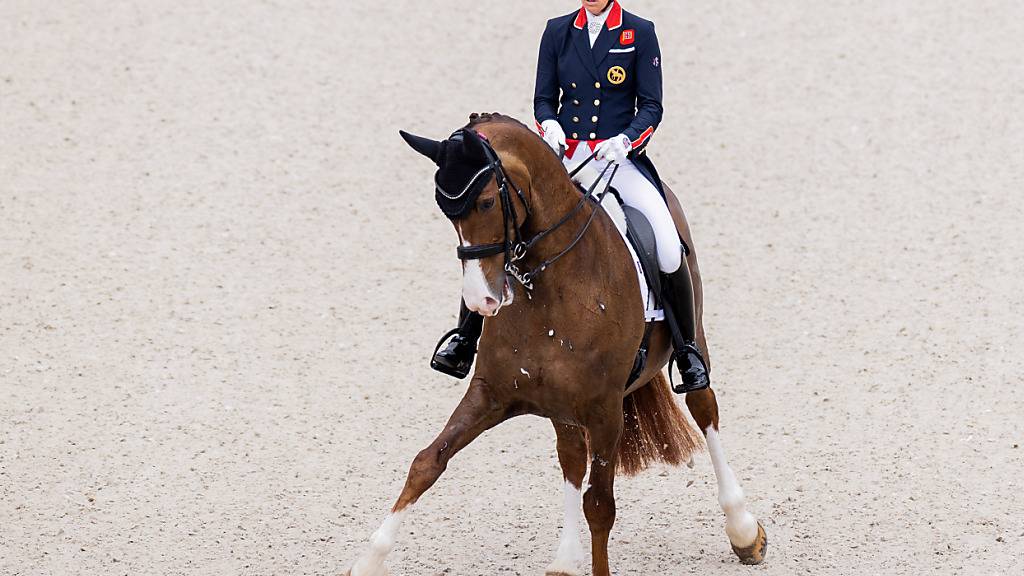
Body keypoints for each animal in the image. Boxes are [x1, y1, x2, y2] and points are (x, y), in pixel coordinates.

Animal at [348, 113, 765, 573]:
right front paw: (368, 560)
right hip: (563, 408)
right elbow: (427, 462)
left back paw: (744, 530)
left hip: (690, 343)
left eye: (487, 203)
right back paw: (565, 559)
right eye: (443, 208)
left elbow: (600, 505)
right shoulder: (492, 394)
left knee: (704, 411)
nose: (481, 300)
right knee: (571, 457)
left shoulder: (605, 410)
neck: (549, 285)